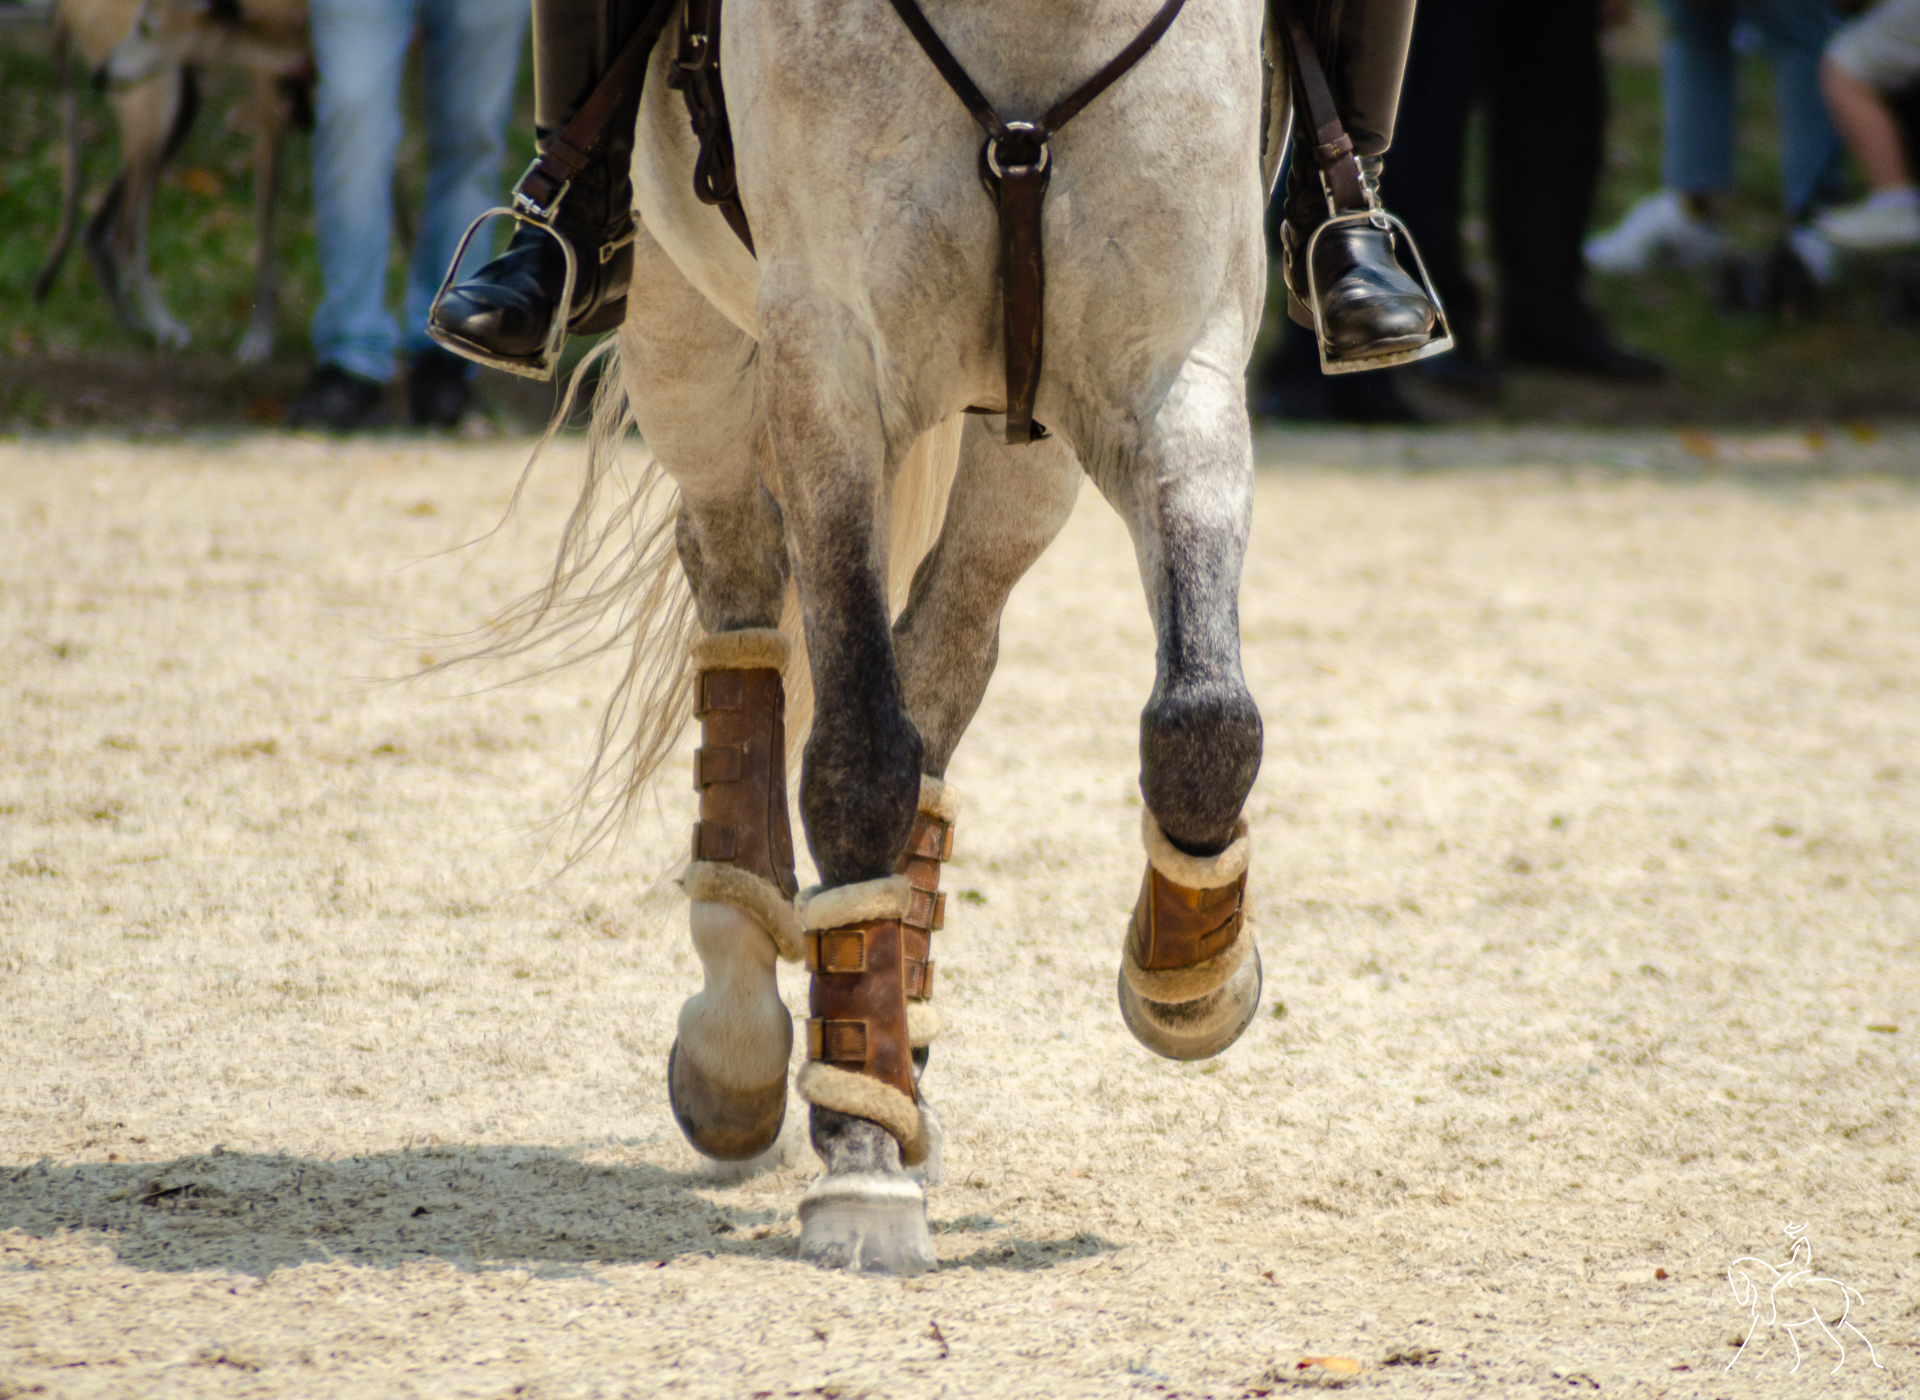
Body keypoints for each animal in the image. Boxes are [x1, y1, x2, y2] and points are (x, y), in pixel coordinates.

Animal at [498, 0, 1285, 1275]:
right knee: (738, 575)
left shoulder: (1173, 370)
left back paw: (895, 1041)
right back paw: (742, 1031)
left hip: (1024, 442)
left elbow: (1207, 720)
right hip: (689, 332)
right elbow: (860, 756)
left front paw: (1194, 973)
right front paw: (859, 1156)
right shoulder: (828, 366)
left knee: (945, 656)